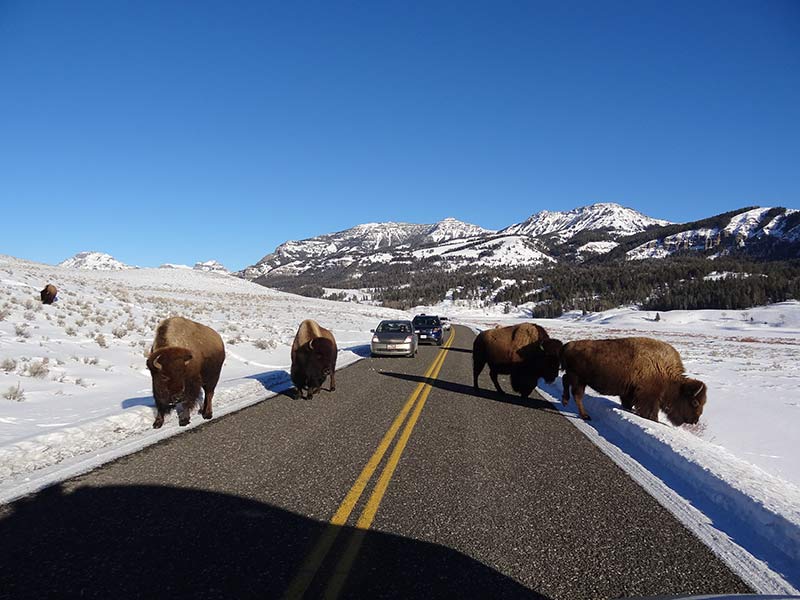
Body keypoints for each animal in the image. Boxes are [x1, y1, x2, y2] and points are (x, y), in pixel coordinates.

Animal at [560, 336, 708, 424]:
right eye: (694, 402)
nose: (695, 420)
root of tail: (567, 345)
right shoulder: (648, 397)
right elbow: (650, 413)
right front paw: (653, 420)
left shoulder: (629, 393)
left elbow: (628, 404)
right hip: (578, 379)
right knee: (577, 395)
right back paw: (585, 415)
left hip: (575, 377)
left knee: (565, 381)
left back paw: (565, 402)